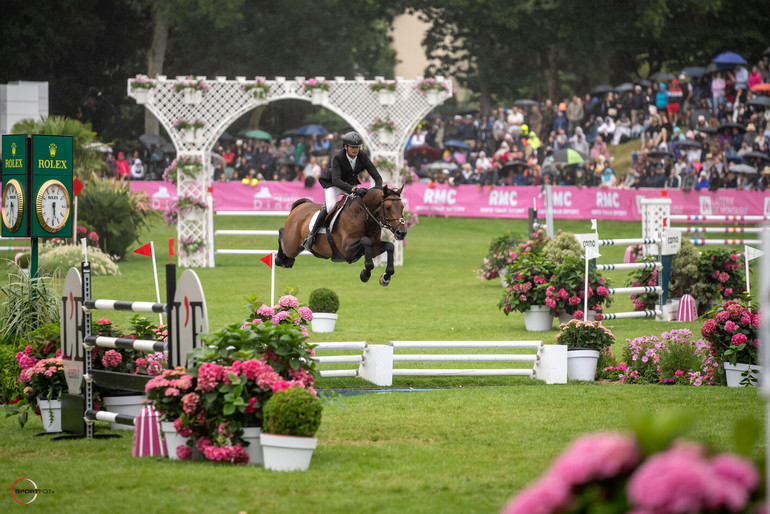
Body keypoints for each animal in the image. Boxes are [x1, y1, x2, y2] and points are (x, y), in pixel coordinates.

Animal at [276, 184, 408, 284]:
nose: (401, 232)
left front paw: (386, 277)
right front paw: (365, 274)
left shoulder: (374, 247)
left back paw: (287, 261)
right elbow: (366, 241)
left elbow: (390, 246)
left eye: (402, 206)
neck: (364, 216)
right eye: (388, 207)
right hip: (291, 245)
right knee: (282, 233)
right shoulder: (346, 250)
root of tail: (301, 206)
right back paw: (280, 260)